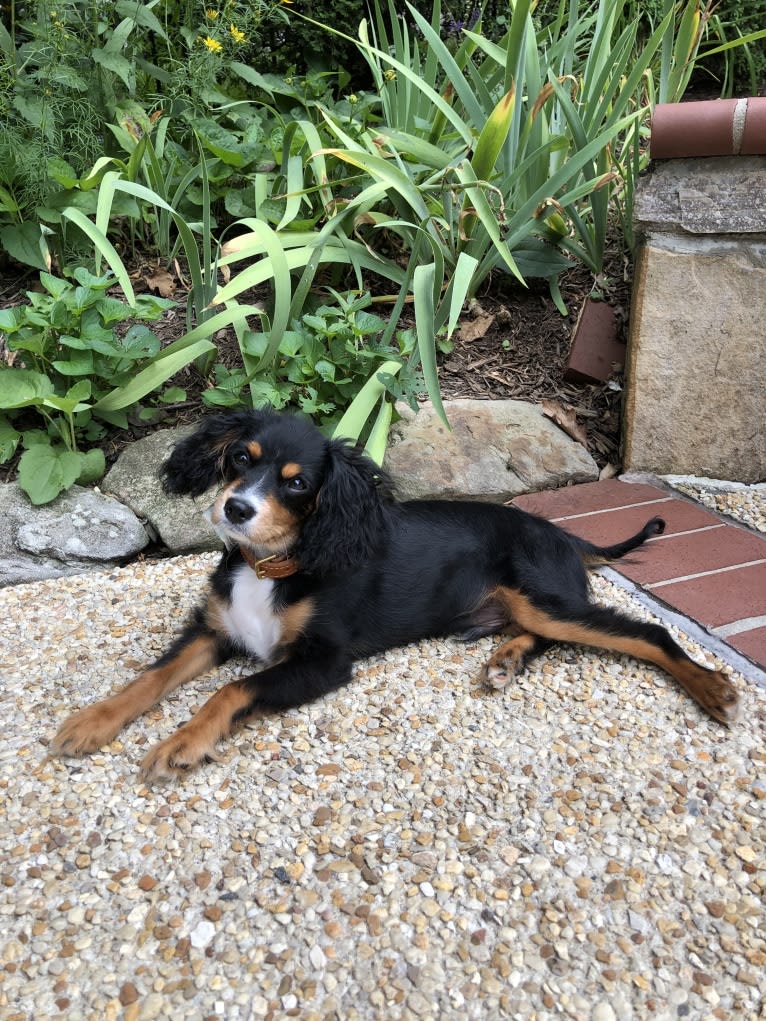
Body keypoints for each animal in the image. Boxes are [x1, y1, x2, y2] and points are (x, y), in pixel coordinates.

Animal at [46, 410, 739, 775]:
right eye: (240, 457)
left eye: (297, 484)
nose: (236, 509)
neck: (274, 567)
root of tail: (563, 532)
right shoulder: (216, 629)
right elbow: (149, 677)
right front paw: (90, 722)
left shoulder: (324, 662)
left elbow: (232, 689)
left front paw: (180, 743)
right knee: (547, 635)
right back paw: (505, 660)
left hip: (544, 595)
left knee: (644, 631)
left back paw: (712, 688)